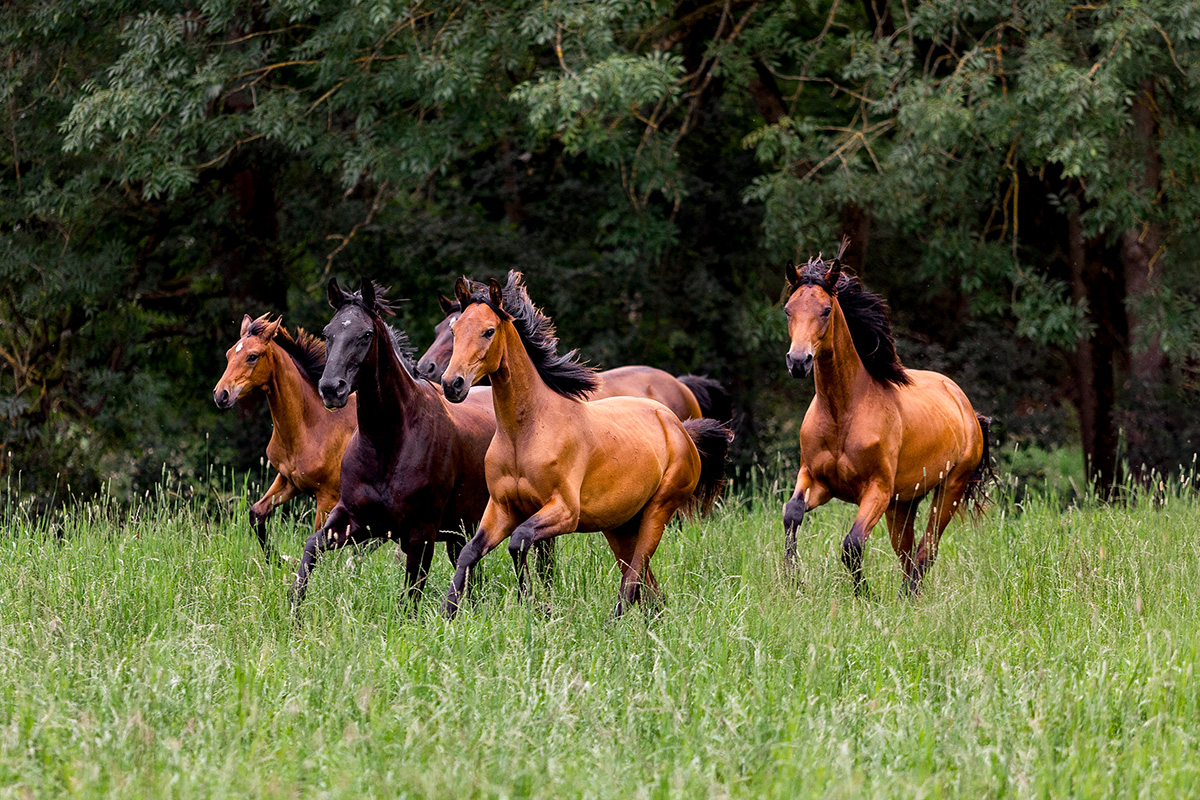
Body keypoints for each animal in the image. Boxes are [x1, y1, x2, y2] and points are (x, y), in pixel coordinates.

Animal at [212, 309, 352, 561]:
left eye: (252, 356)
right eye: (229, 354)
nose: (221, 395)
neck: (312, 426)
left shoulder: (327, 497)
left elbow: (318, 541)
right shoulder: (288, 480)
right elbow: (257, 513)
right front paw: (276, 560)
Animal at [288, 278, 499, 618]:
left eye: (365, 335)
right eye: (328, 332)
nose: (331, 389)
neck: (387, 444)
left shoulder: (421, 535)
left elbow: (409, 600)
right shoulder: (356, 521)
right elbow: (310, 549)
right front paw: (294, 613)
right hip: (461, 531)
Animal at [777, 241, 993, 597]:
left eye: (825, 310)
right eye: (788, 310)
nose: (798, 361)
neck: (843, 412)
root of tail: (965, 405)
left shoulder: (876, 489)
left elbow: (852, 543)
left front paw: (865, 594)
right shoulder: (817, 479)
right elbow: (791, 514)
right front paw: (794, 579)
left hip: (949, 488)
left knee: (926, 548)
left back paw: (908, 595)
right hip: (903, 502)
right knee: (906, 551)